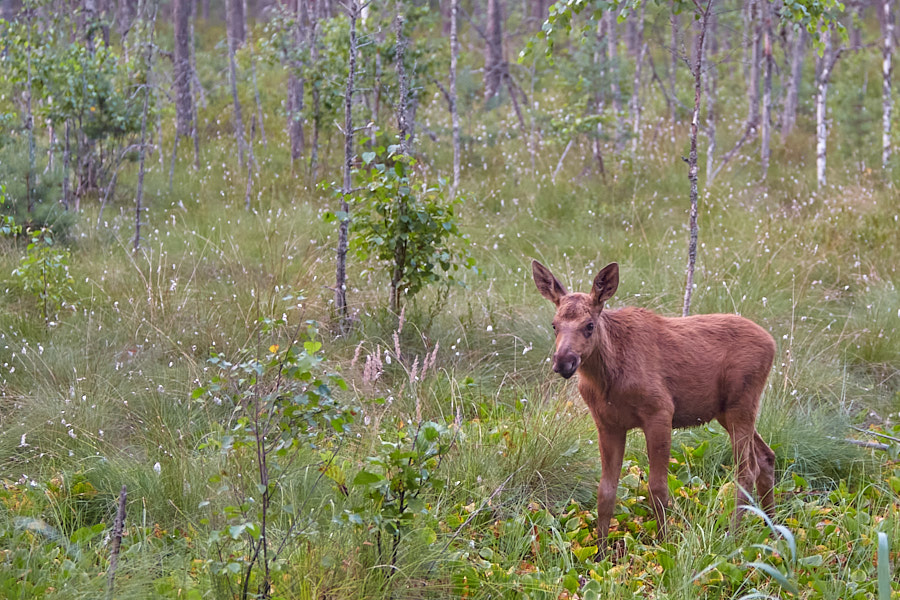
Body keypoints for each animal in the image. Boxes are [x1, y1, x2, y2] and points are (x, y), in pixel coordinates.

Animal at [532, 260, 776, 556]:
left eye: (589, 325)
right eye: (554, 325)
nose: (563, 362)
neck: (608, 378)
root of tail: (773, 343)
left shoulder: (660, 412)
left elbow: (657, 488)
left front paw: (663, 544)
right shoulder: (607, 424)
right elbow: (605, 491)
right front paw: (600, 552)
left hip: (742, 404)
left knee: (746, 470)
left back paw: (734, 536)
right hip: (726, 412)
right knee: (766, 457)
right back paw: (773, 531)